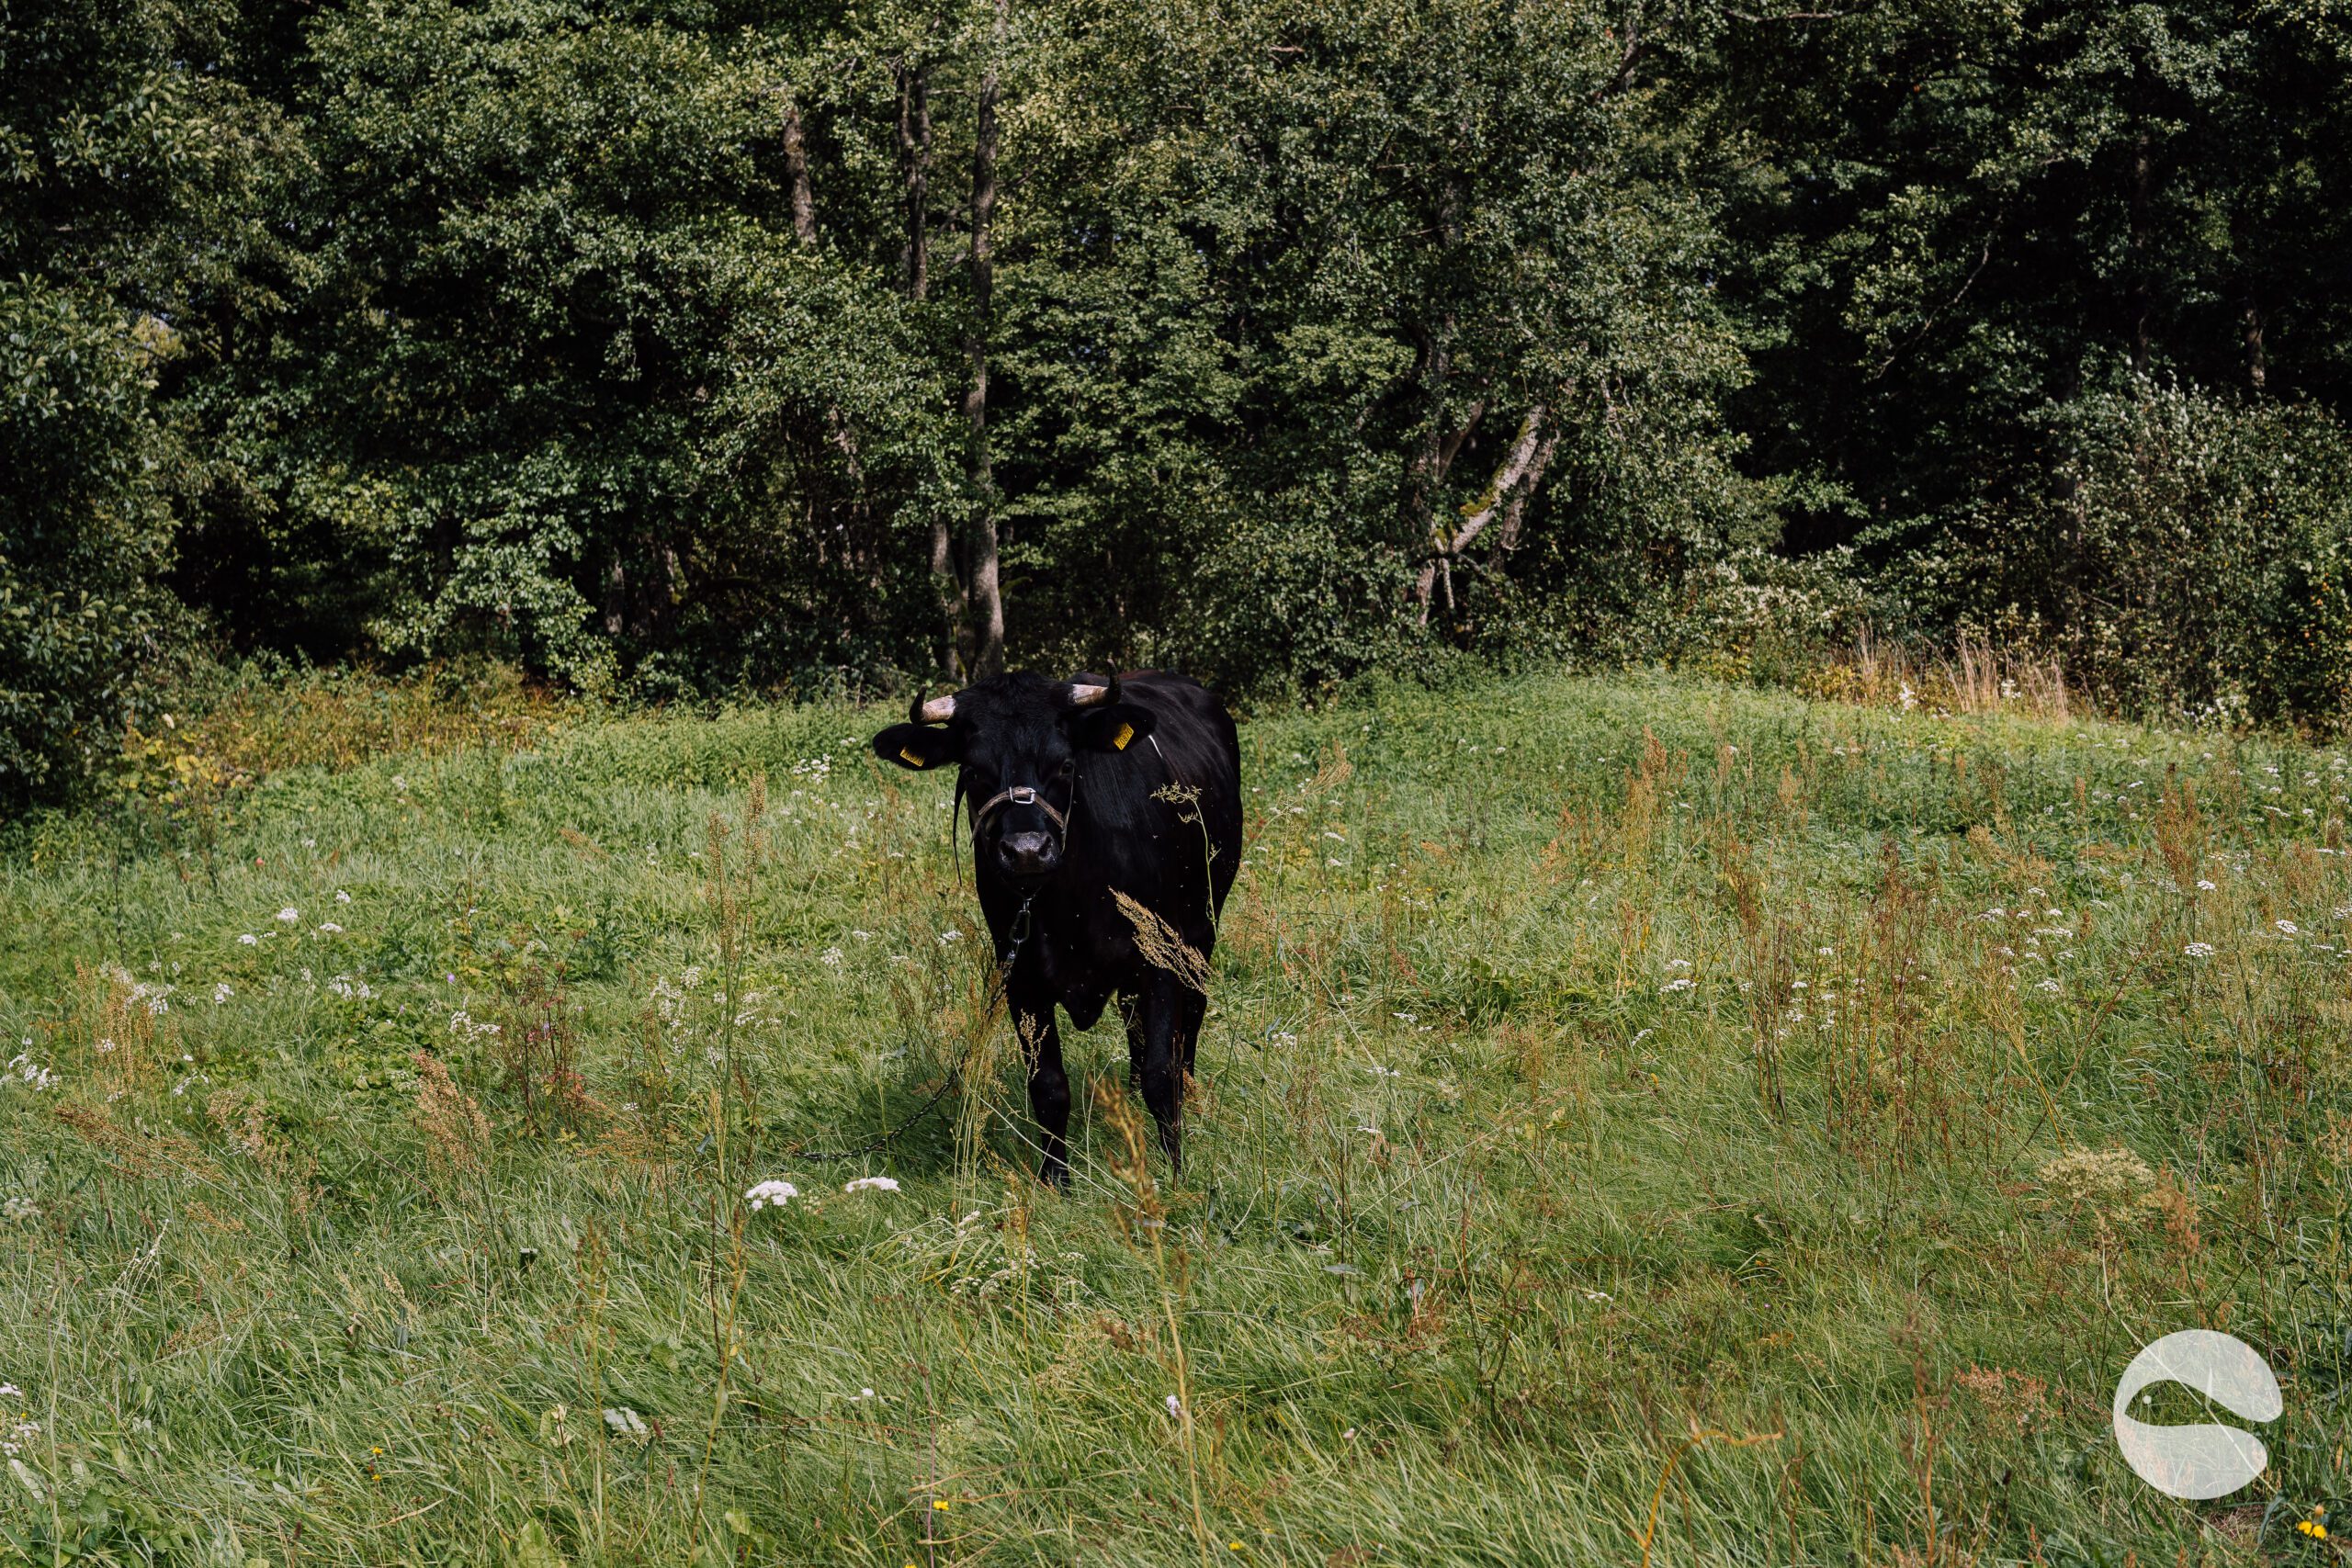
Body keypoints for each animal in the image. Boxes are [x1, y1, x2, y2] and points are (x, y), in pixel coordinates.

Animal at [871, 669, 1242, 1185]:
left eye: (1065, 765)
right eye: (973, 771)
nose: (1027, 850)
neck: (1074, 901)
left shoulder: (1160, 958)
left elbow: (1161, 1072)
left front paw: (1175, 1173)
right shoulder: (1020, 975)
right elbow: (1047, 1085)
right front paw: (1054, 1179)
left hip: (1202, 928)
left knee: (1191, 1017)